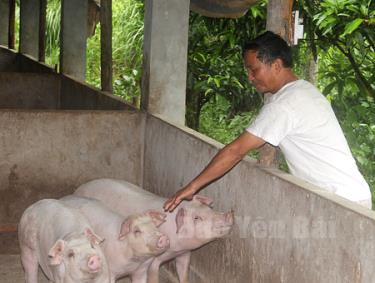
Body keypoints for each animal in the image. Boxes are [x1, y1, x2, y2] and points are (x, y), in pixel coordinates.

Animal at [74, 179, 234, 282]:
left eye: (209, 208)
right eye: (197, 218)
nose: (229, 214)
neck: (177, 247)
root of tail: (79, 188)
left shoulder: (185, 254)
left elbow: (184, 274)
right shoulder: (154, 261)